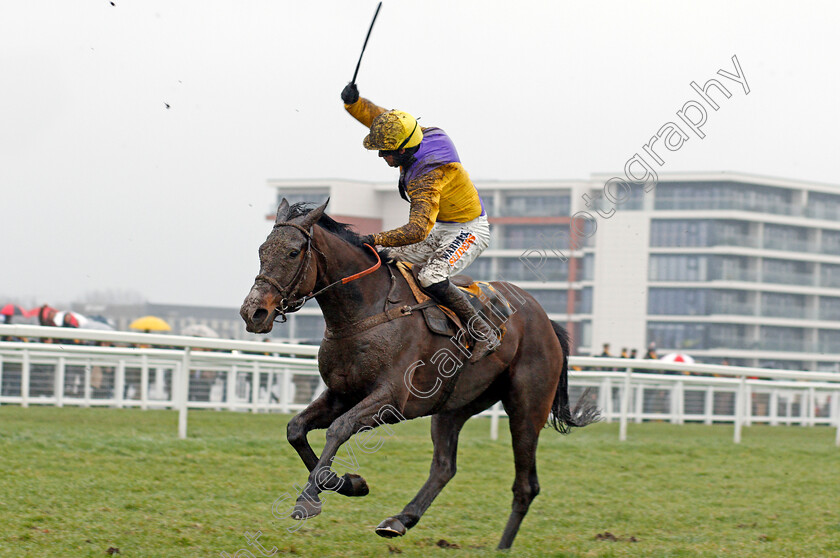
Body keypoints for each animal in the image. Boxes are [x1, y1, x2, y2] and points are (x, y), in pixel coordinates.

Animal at [240, 200, 600, 552]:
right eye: (262, 250)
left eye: (293, 252)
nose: (253, 312)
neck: (367, 310)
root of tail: (546, 321)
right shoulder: (341, 394)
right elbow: (296, 429)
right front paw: (348, 483)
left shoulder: (390, 400)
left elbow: (338, 429)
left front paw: (309, 497)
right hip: (454, 406)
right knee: (444, 467)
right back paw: (400, 520)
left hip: (526, 409)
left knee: (526, 484)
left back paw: (502, 546)